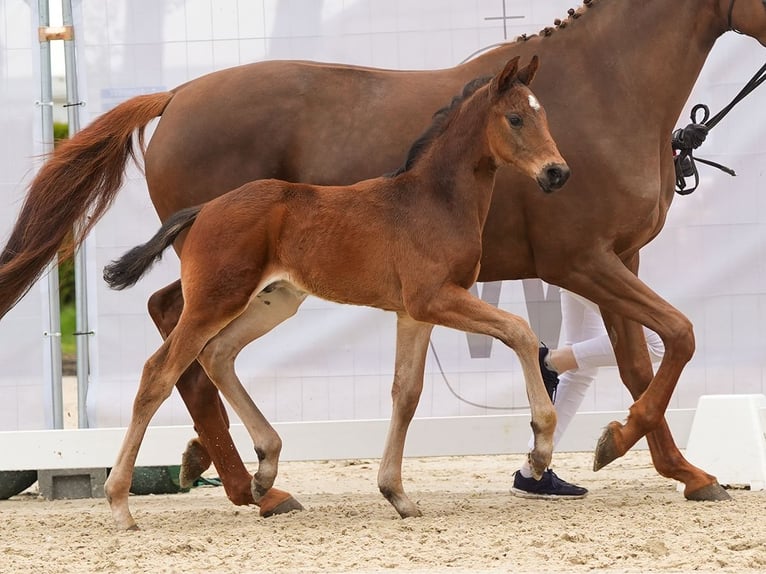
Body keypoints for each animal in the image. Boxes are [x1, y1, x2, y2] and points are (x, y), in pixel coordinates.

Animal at [102, 57, 568, 532]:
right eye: (515, 118)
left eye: (545, 115)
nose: (557, 172)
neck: (433, 201)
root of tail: (204, 209)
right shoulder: (434, 298)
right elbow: (520, 331)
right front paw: (539, 450)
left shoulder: (414, 313)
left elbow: (407, 392)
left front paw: (397, 494)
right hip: (213, 301)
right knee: (158, 373)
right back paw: (121, 503)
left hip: (274, 301)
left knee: (217, 354)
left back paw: (264, 472)